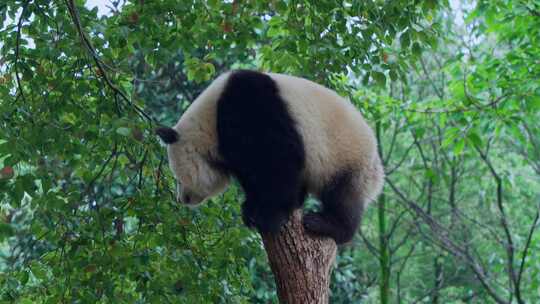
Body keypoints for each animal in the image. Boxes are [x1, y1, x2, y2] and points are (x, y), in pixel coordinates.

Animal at [156, 69, 384, 245]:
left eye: (178, 177)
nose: (182, 199)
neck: (209, 122)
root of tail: (378, 171)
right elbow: (253, 174)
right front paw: (251, 209)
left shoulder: (252, 107)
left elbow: (281, 160)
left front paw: (270, 216)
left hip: (348, 159)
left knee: (342, 198)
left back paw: (325, 224)